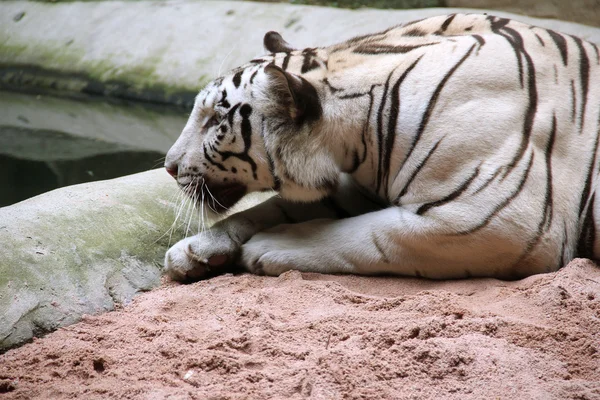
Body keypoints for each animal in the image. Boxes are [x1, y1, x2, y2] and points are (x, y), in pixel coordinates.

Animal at [164, 12, 600, 282]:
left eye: (214, 121)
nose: (168, 165)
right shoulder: (361, 186)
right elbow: (269, 208)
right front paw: (193, 250)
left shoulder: (495, 222)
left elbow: (366, 236)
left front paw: (269, 247)